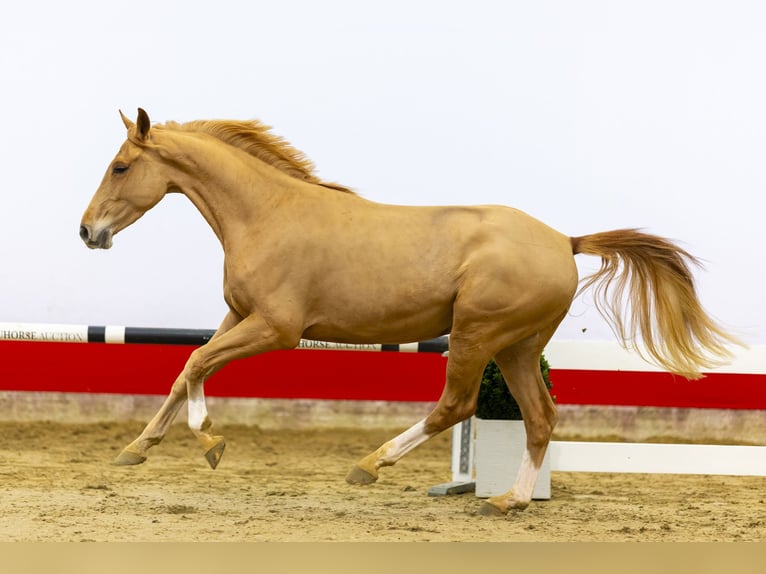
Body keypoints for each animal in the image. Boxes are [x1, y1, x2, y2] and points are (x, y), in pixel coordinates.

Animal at [79, 108, 744, 516]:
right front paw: (137, 448)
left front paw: (208, 440)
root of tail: (565, 240)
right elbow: (186, 369)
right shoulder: (237, 318)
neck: (266, 213)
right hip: (518, 347)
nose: (88, 231)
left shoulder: (275, 328)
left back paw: (371, 465)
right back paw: (509, 501)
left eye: (120, 165)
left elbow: (195, 366)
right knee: (540, 417)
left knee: (457, 404)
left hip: (478, 334)